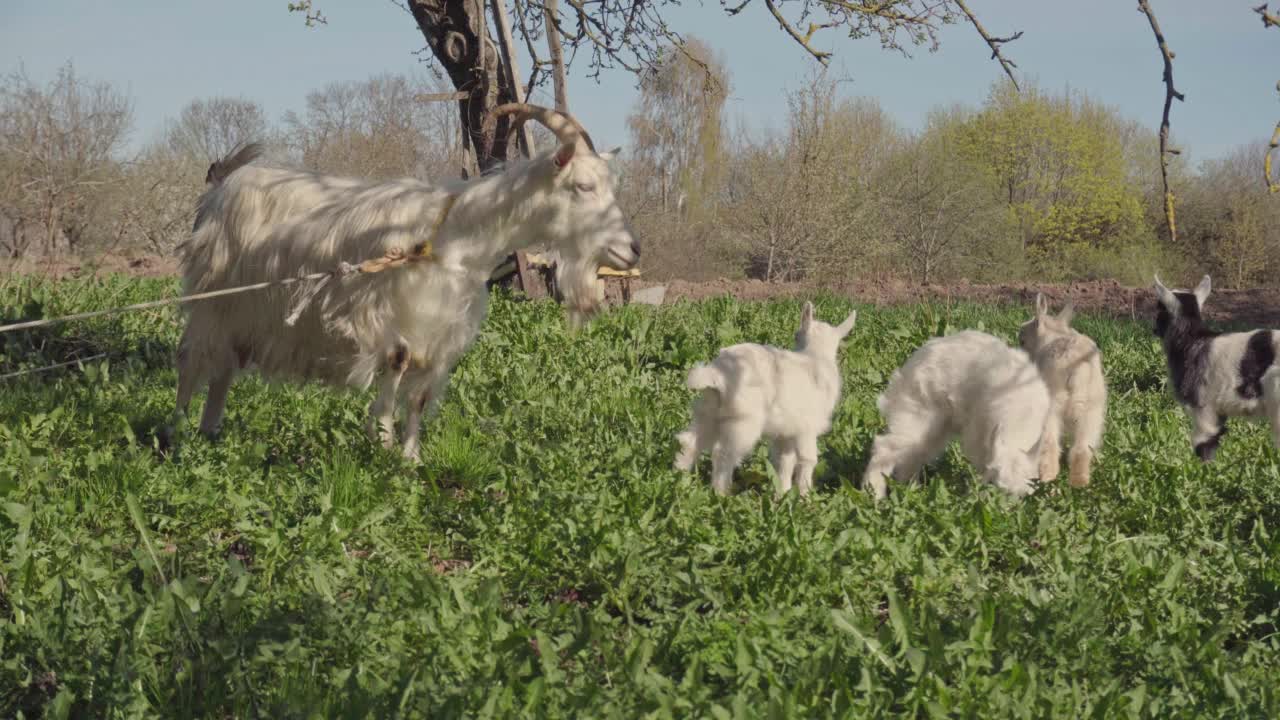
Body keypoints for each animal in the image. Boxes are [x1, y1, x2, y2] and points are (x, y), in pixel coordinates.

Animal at [170, 103, 640, 456]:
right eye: (582, 186)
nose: (632, 248)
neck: (454, 235)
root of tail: (221, 186)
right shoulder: (387, 312)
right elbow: (396, 365)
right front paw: (381, 437)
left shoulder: (442, 332)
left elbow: (419, 396)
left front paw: (410, 458)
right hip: (215, 298)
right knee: (192, 360)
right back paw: (175, 434)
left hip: (241, 313)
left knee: (223, 368)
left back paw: (210, 430)